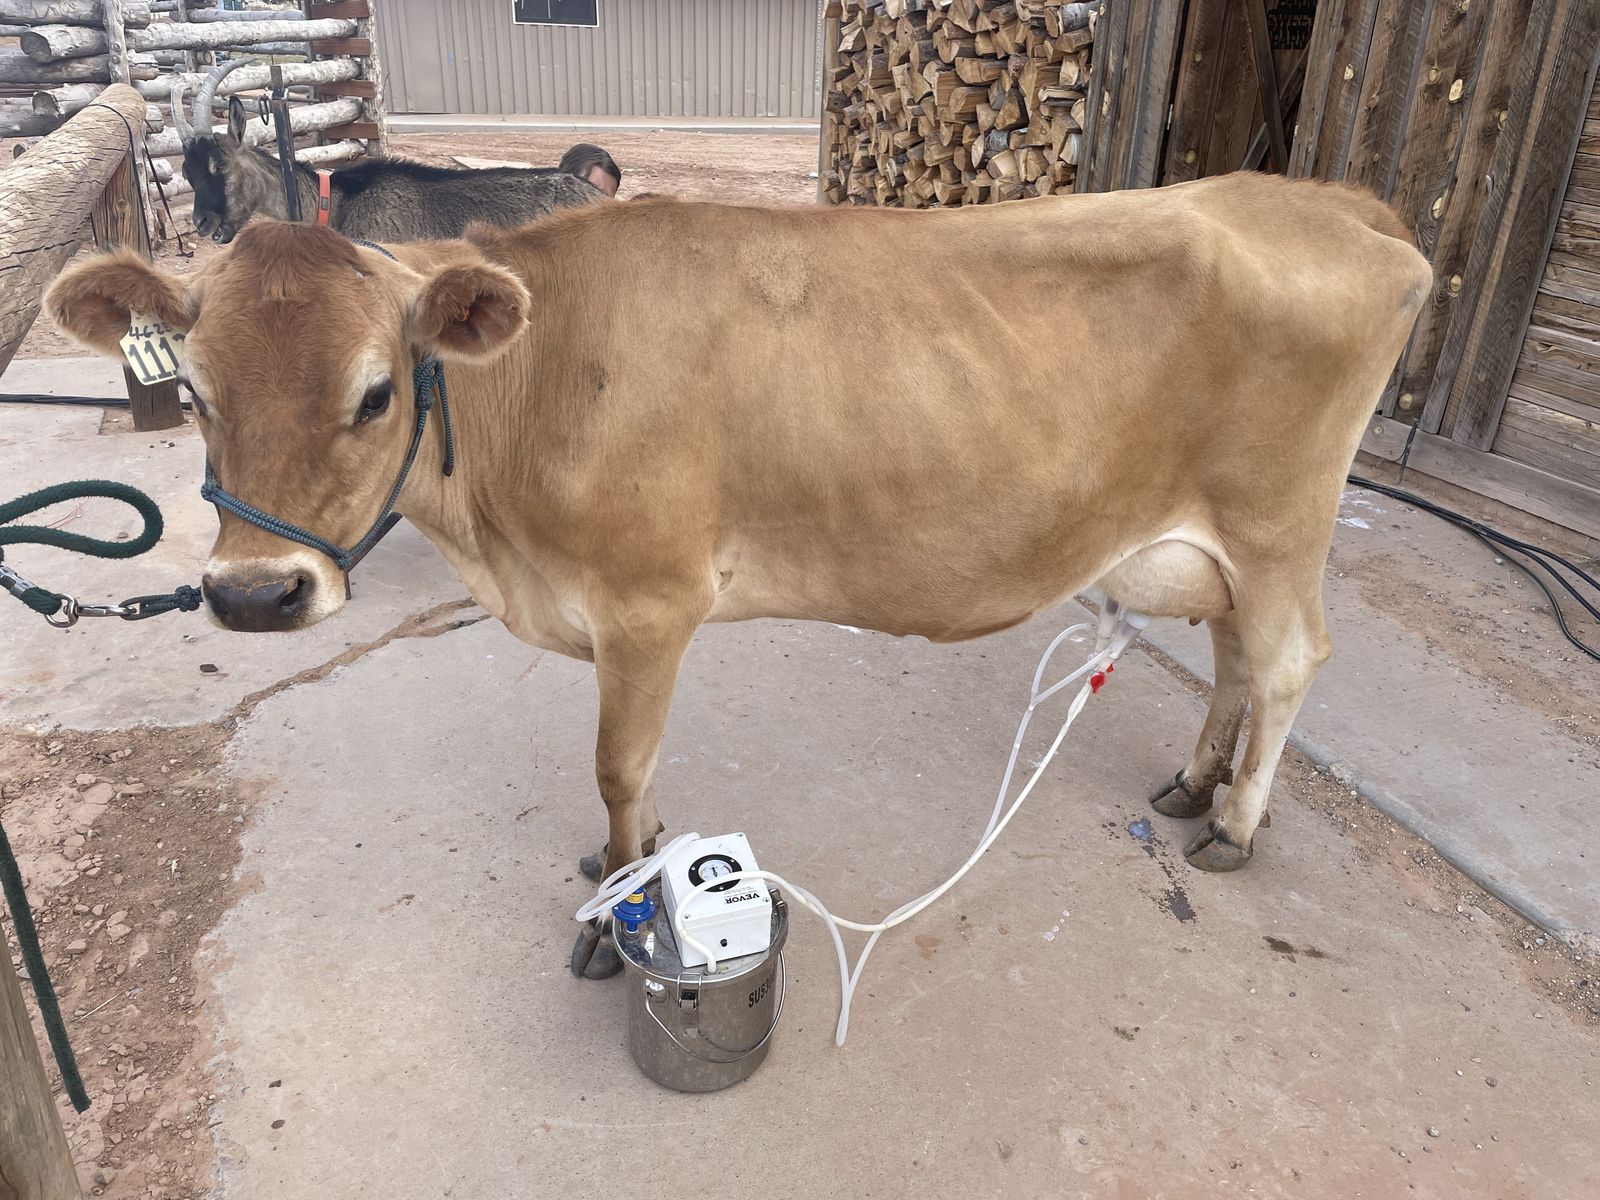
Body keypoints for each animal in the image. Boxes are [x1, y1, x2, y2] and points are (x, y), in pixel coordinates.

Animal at [46, 172, 1430, 979]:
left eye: (376, 392)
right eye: (197, 394)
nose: (253, 595)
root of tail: (1337, 202)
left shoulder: (649, 603)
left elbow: (618, 767)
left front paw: (618, 903)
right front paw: (645, 860)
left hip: (1279, 520)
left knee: (1287, 658)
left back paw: (1235, 825)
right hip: (1229, 538)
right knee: (1234, 651)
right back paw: (1197, 784)